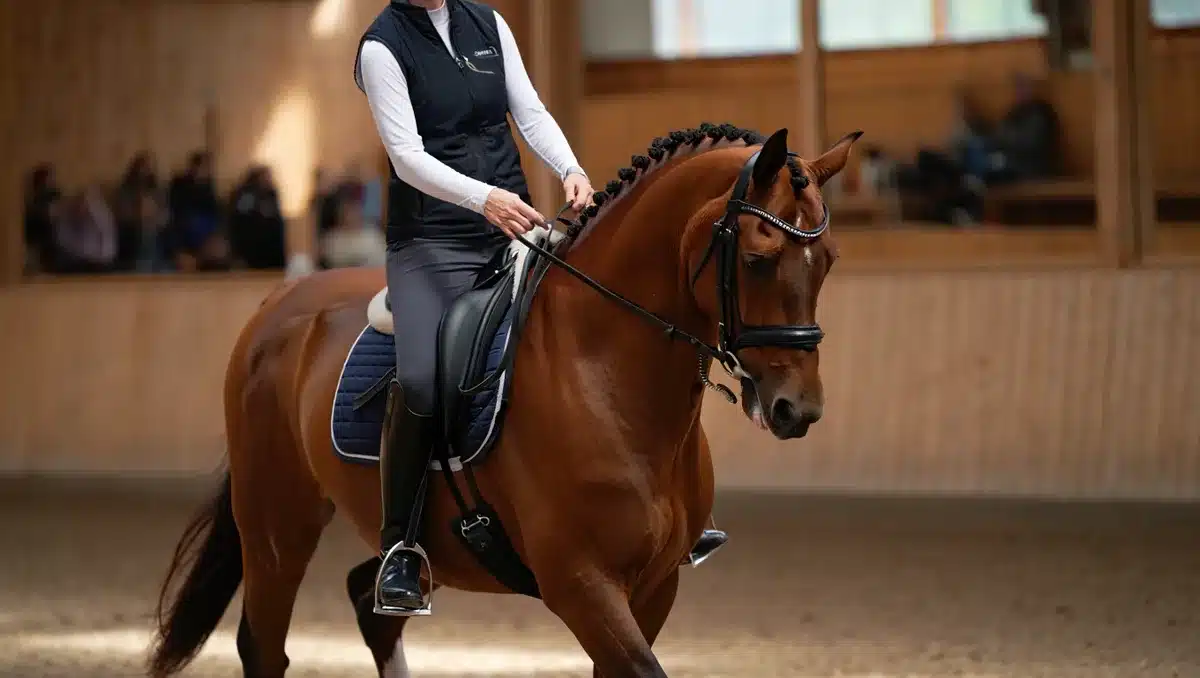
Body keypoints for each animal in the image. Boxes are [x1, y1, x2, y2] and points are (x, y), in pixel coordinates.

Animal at [147, 122, 859, 678]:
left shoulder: (657, 585)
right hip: (277, 529)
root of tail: (280, 300)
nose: (798, 409)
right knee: (265, 646)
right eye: (760, 259)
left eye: (826, 259)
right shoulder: (582, 584)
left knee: (372, 608)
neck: (602, 370)